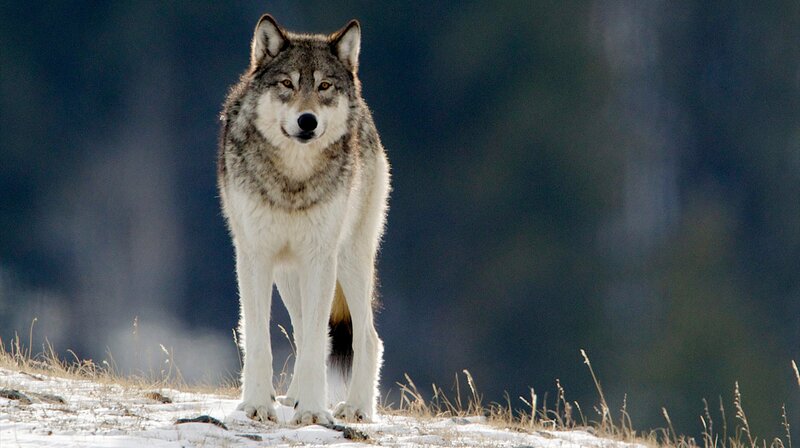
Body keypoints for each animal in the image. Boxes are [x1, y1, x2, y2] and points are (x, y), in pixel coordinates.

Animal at [217, 14, 390, 425]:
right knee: (304, 331)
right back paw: (293, 396)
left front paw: (312, 412)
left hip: (348, 261)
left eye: (324, 86)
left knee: (366, 337)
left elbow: (314, 342)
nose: (307, 121)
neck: (292, 179)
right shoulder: (254, 257)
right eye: (288, 84)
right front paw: (257, 405)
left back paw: (357, 408)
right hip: (288, 273)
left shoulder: (319, 259)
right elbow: (259, 340)